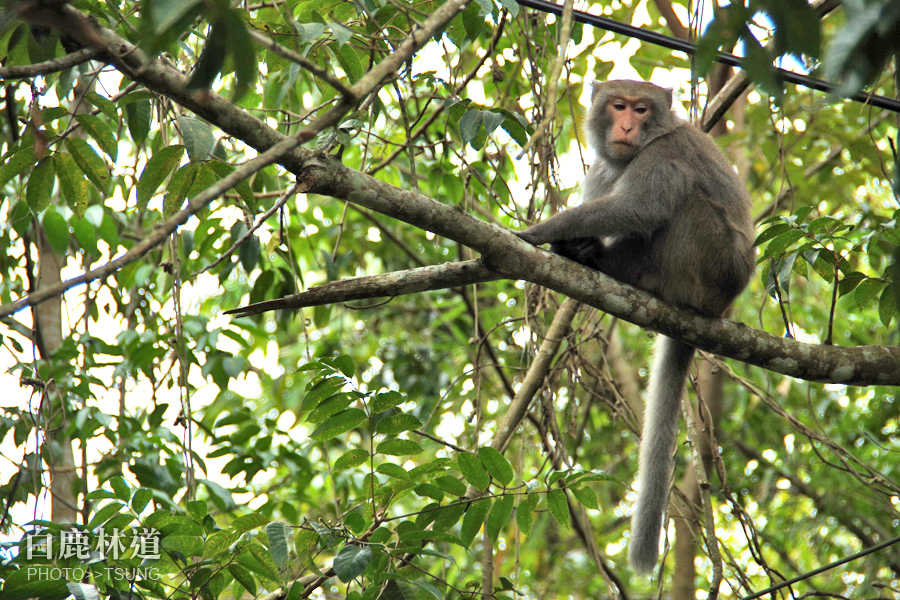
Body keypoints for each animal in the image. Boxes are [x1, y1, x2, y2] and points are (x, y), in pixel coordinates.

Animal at [516, 78, 756, 572]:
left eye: (642, 110)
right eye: (619, 105)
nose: (627, 125)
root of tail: (722, 306)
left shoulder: (664, 154)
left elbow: (637, 207)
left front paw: (541, 231)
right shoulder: (602, 170)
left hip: (705, 262)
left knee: (677, 202)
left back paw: (610, 263)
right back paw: (588, 255)